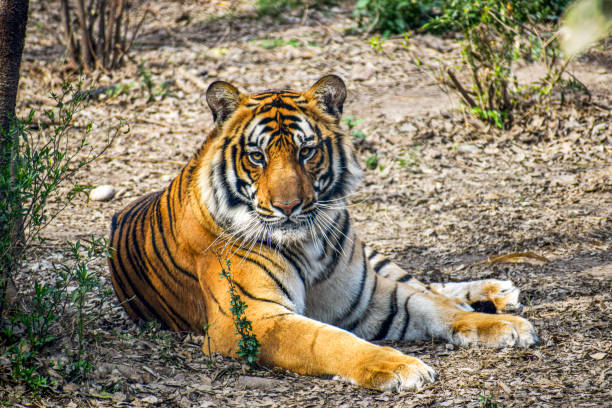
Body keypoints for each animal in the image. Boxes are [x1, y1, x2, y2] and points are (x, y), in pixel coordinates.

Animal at [107, 75, 536, 390]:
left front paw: (502, 326)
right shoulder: (252, 319)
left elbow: (430, 305)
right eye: (257, 156)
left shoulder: (366, 294)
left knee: (425, 285)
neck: (306, 243)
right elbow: (327, 339)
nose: (288, 206)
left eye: (306, 151)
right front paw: (399, 367)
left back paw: (497, 293)